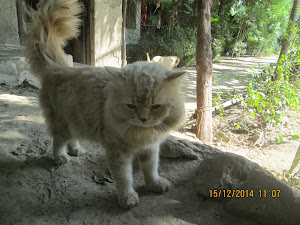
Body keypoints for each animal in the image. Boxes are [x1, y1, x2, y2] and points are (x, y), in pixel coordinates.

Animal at [24, 0, 185, 209]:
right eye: (131, 106)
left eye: (155, 106)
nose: (143, 119)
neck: (141, 133)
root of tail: (59, 68)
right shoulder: (118, 151)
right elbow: (124, 178)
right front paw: (127, 197)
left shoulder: (151, 148)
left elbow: (151, 169)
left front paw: (155, 184)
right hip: (62, 122)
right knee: (58, 140)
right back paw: (61, 157)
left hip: (76, 120)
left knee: (71, 138)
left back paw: (75, 150)